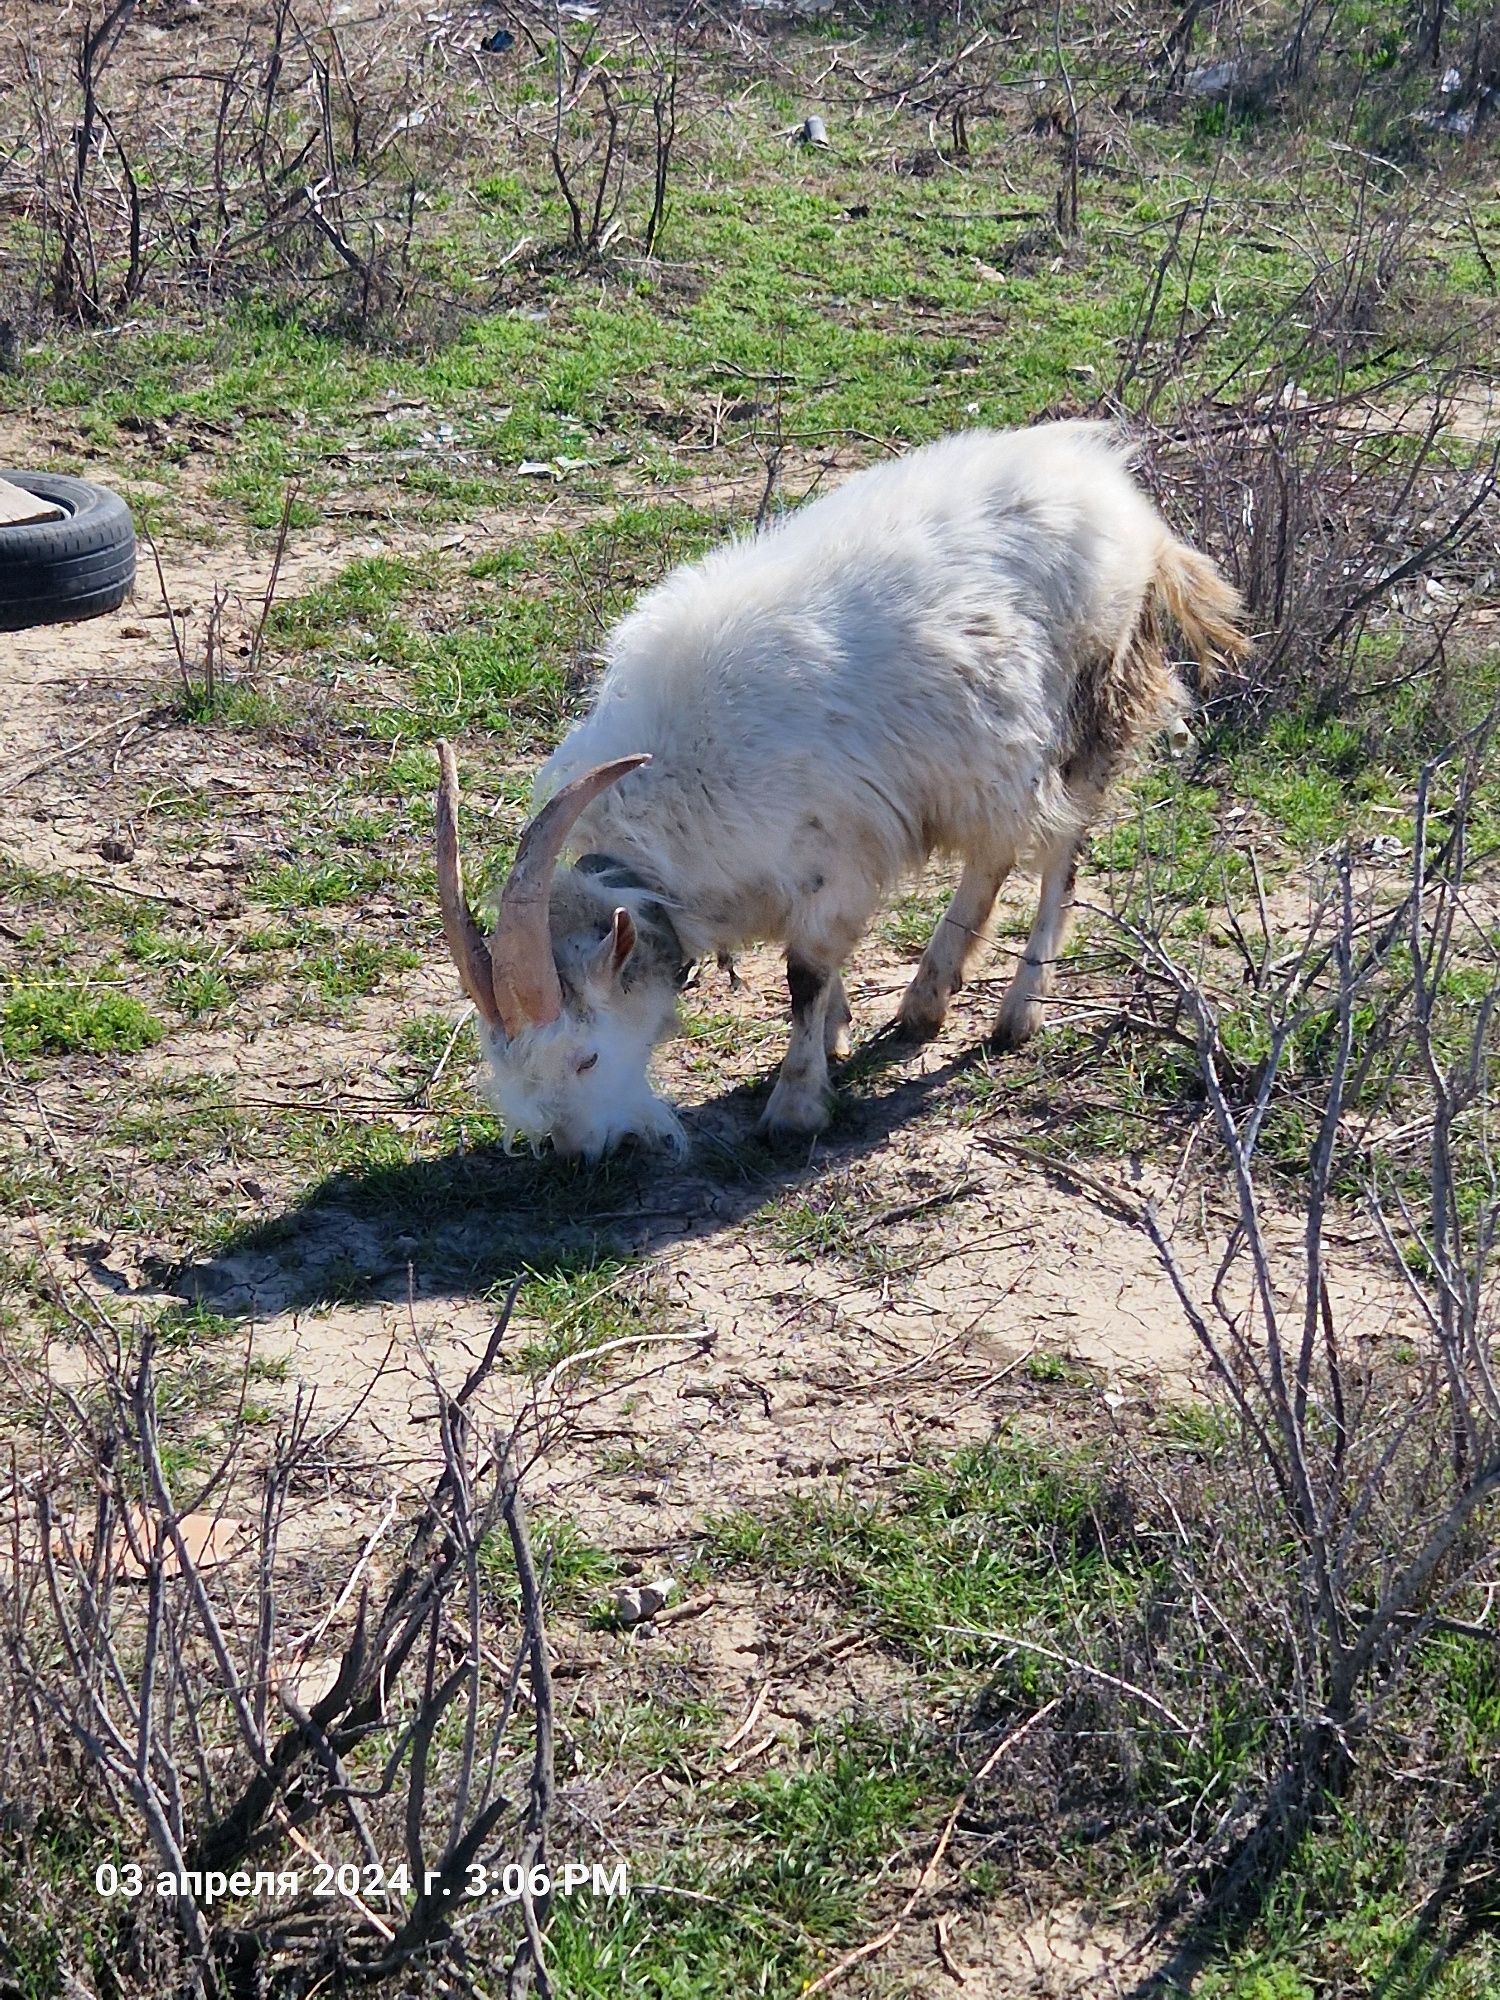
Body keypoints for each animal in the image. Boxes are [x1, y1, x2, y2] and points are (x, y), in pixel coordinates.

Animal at [432, 422, 1248, 1160]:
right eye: (506, 1071)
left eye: (588, 1056)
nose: (580, 1154)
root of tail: (1118, 490)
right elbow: (823, 970)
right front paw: (836, 1032)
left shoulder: (838, 853)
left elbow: (805, 972)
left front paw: (796, 1103)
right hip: (989, 759)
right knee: (992, 853)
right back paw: (926, 999)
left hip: (1091, 710)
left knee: (1061, 853)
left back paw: (1019, 1012)